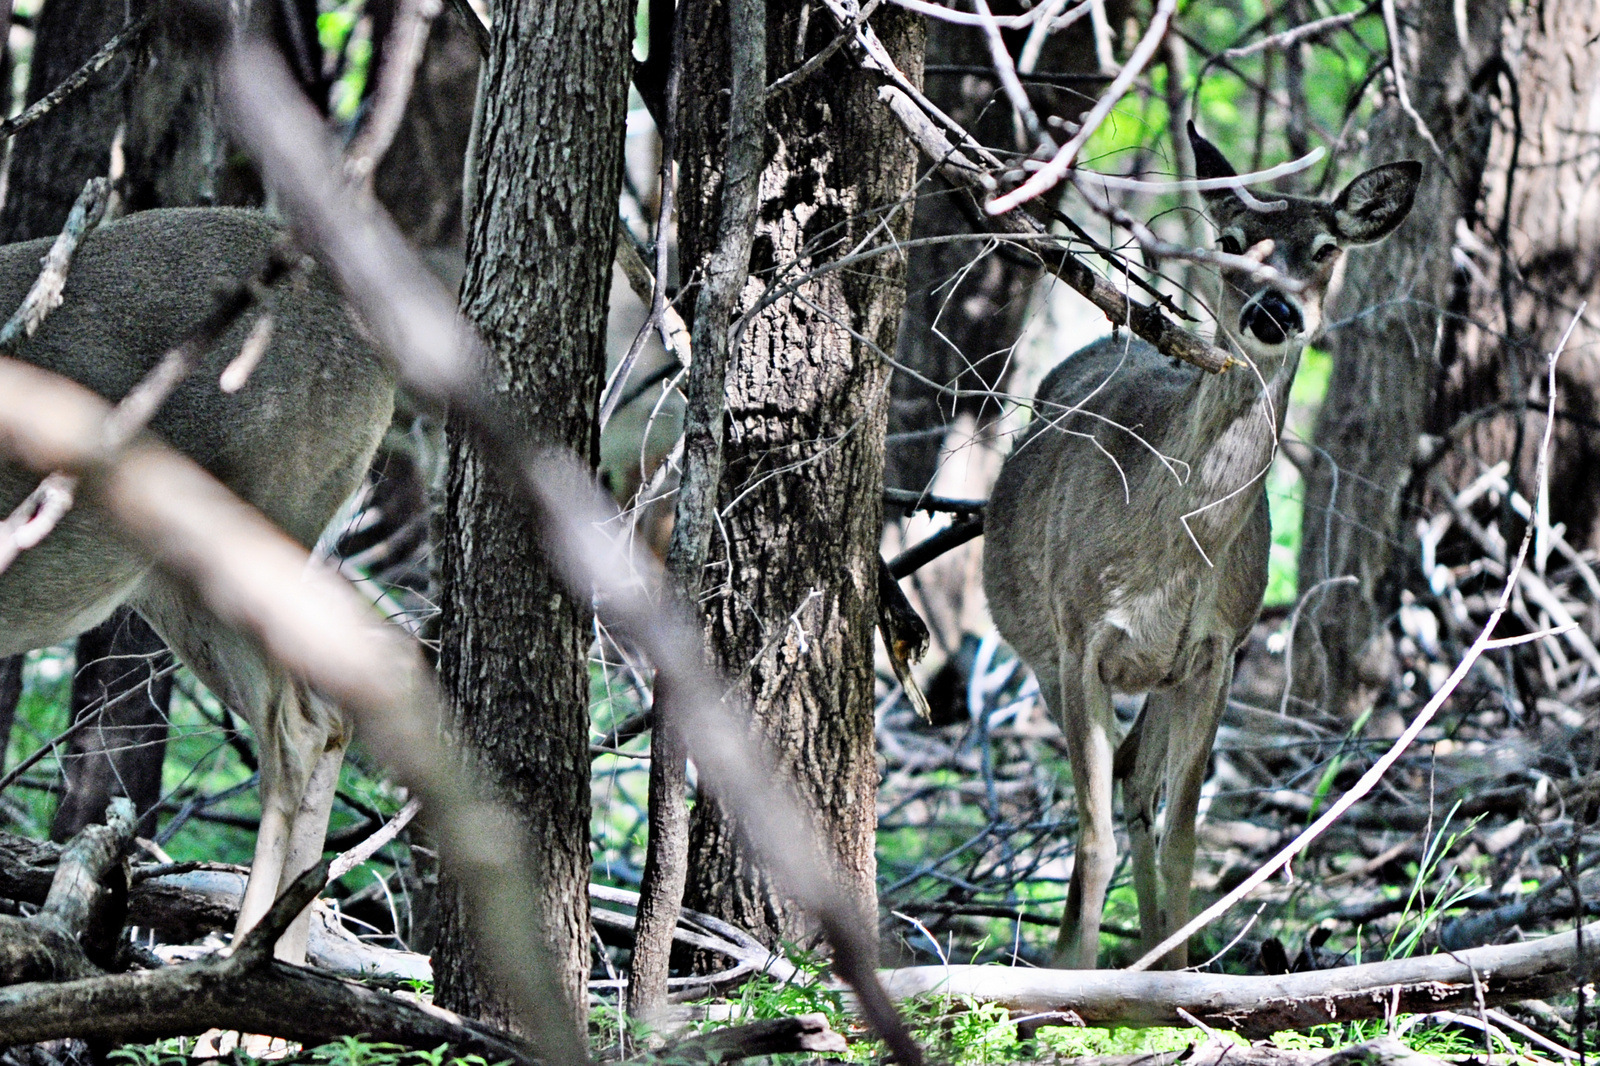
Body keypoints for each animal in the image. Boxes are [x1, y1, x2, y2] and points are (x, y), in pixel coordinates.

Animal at [979, 122, 1420, 960]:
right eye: (1231, 241)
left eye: (1325, 248)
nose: (1275, 312)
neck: (1170, 558)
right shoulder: (1080, 637)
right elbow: (1092, 836)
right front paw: (1069, 974)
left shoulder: (1219, 650)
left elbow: (1184, 833)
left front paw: (1171, 972)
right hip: (1039, 651)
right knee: (1115, 788)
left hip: (1163, 675)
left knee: (1140, 782)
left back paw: (1148, 946)